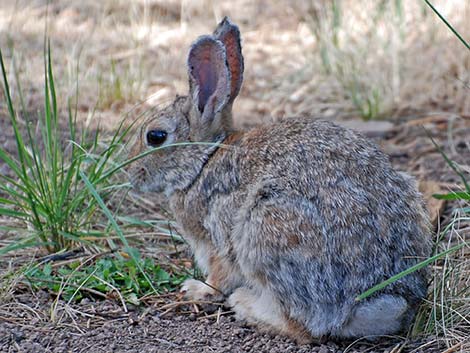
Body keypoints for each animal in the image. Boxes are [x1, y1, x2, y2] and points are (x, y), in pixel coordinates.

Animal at [127, 17, 430, 342]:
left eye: (155, 137)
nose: (131, 174)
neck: (205, 160)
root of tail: (375, 300)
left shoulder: (218, 238)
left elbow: (219, 277)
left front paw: (196, 289)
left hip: (267, 227)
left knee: (304, 326)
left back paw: (246, 306)